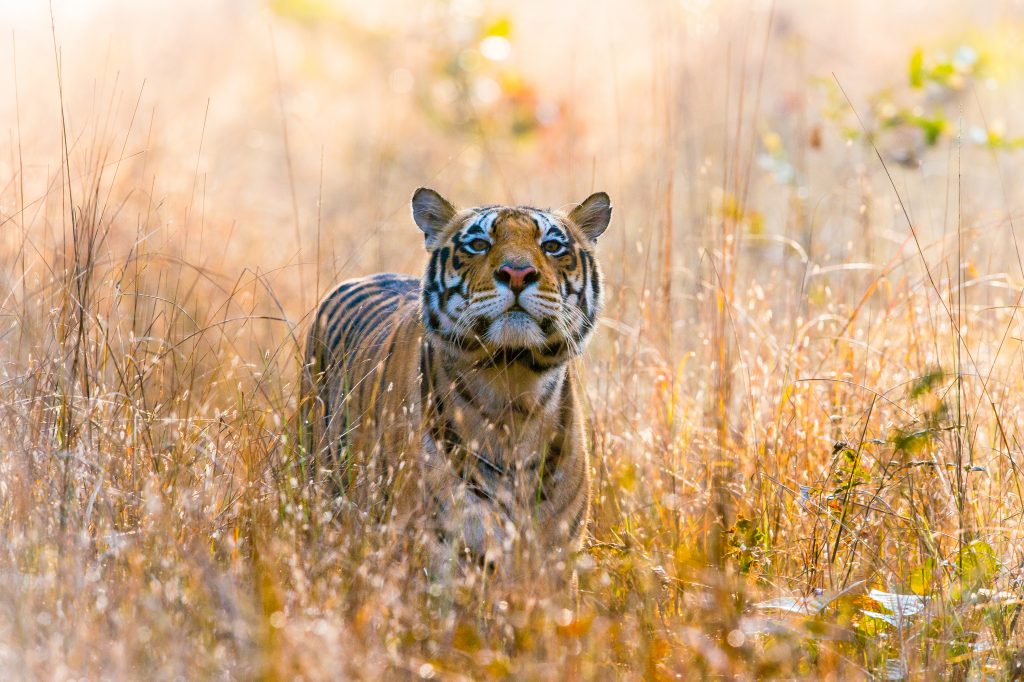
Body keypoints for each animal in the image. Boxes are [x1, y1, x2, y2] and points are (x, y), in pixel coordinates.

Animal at [299, 184, 610, 569]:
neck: (513, 391)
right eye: (478, 244)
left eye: (552, 246)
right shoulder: (440, 544)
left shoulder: (555, 554)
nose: (517, 273)